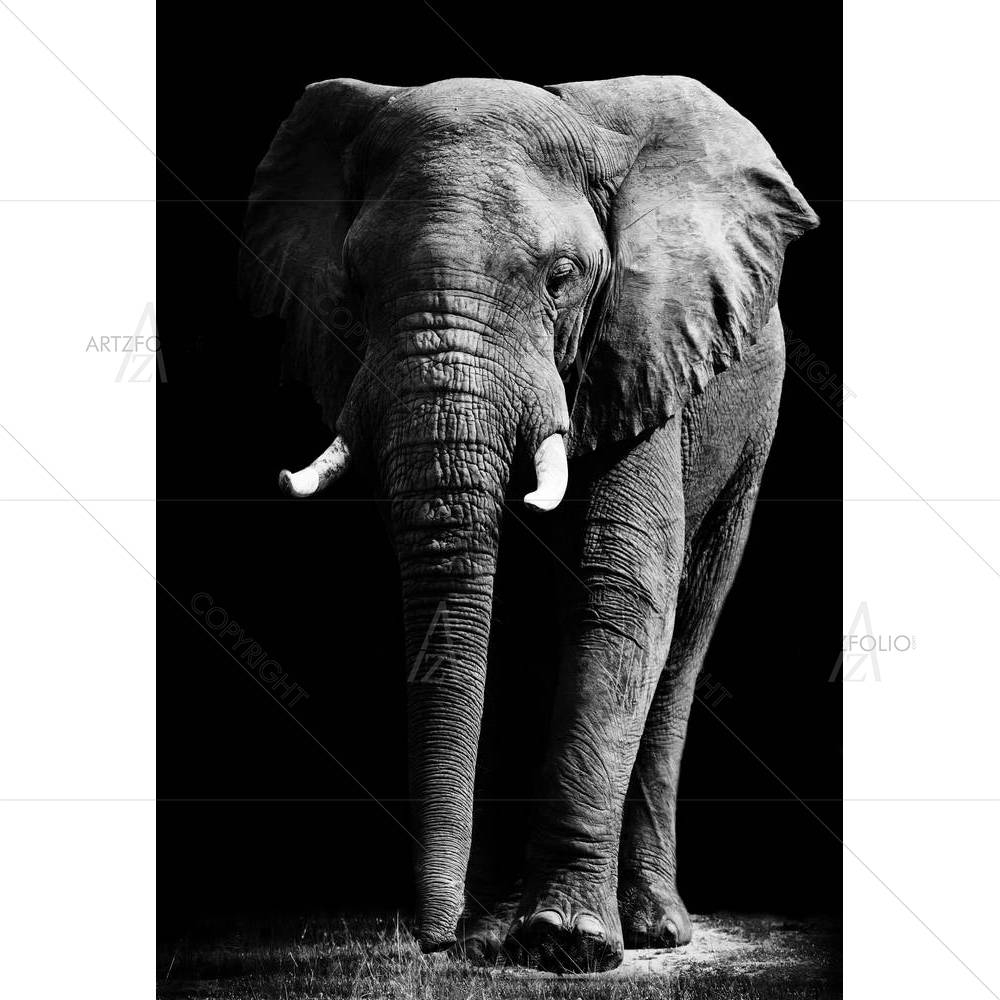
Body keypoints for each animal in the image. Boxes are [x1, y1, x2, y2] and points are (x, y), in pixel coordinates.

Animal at [240, 75, 817, 973]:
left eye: (561, 276)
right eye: (353, 280)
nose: (433, 942)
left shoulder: (640, 347)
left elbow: (622, 590)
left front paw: (565, 943)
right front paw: (495, 939)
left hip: (754, 429)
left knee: (687, 635)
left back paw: (650, 928)